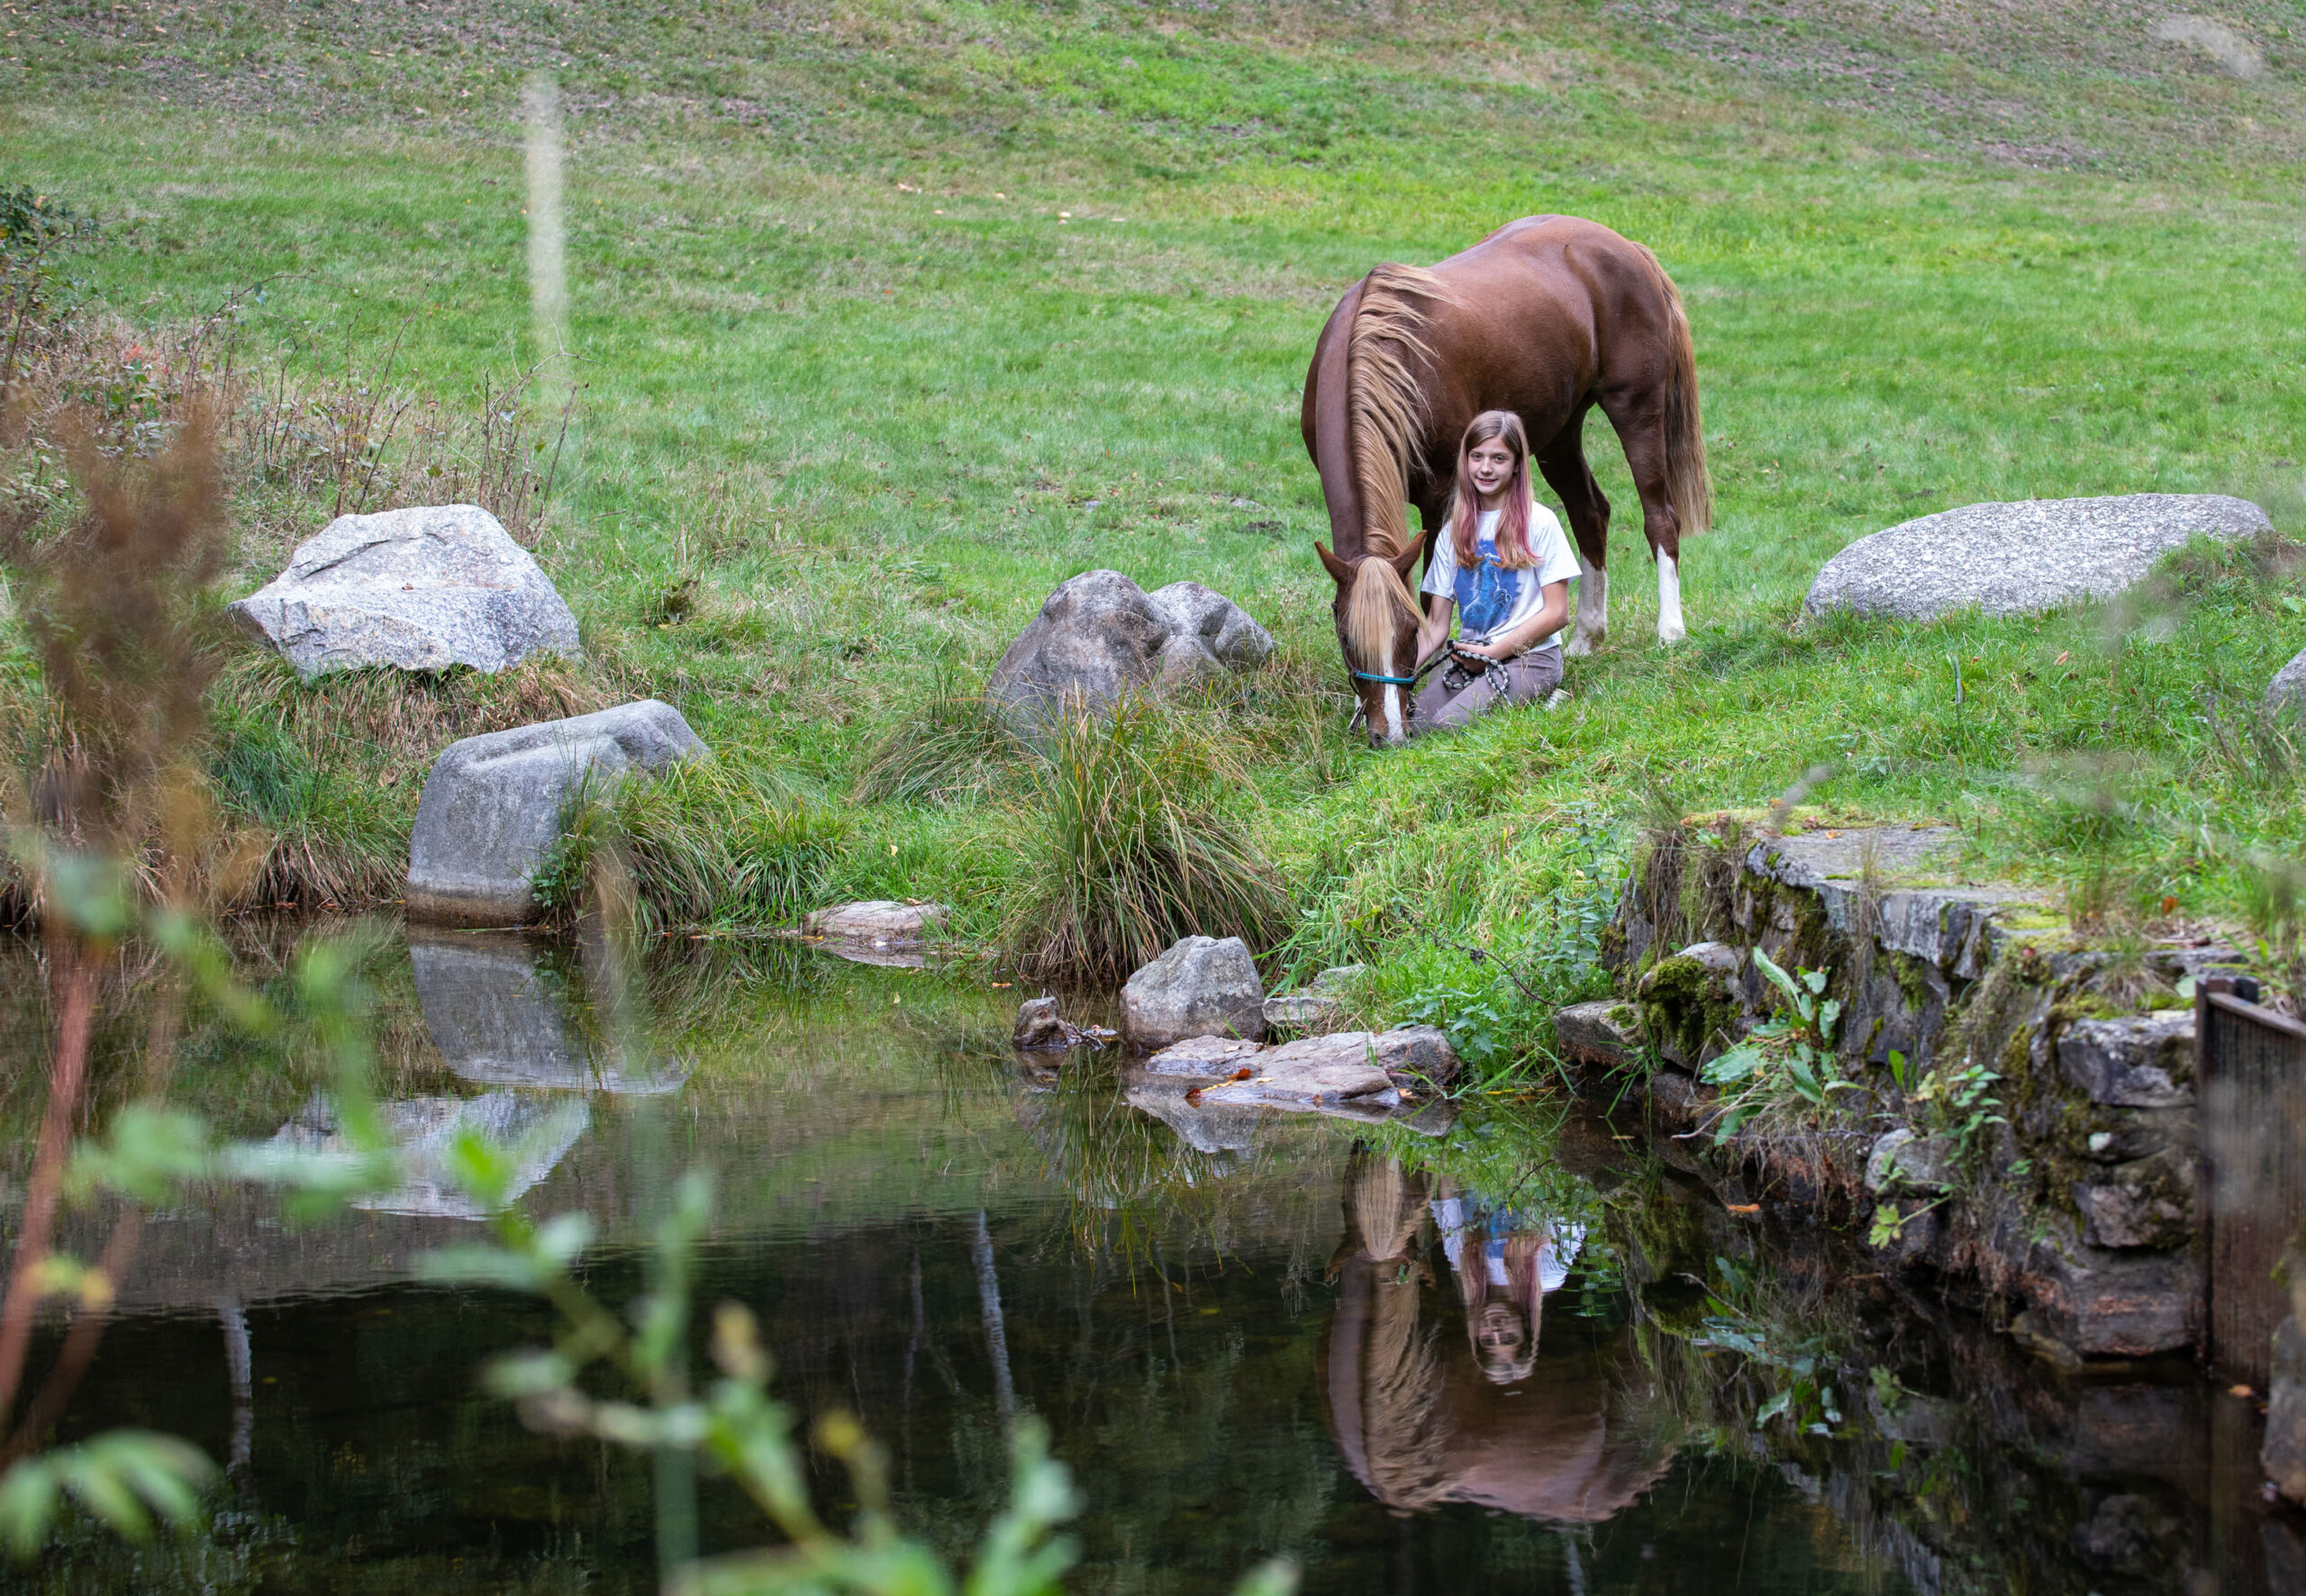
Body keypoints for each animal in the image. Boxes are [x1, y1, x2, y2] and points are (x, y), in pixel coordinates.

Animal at [1301, 215, 1712, 745]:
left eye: (1411, 632)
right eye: (1347, 638)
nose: (1388, 733)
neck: (1386, 351)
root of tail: (1625, 247)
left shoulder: (1441, 497)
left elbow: (1433, 593)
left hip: (1637, 409)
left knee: (1659, 518)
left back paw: (1670, 632)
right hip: (1559, 432)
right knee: (1590, 513)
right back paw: (1586, 635)